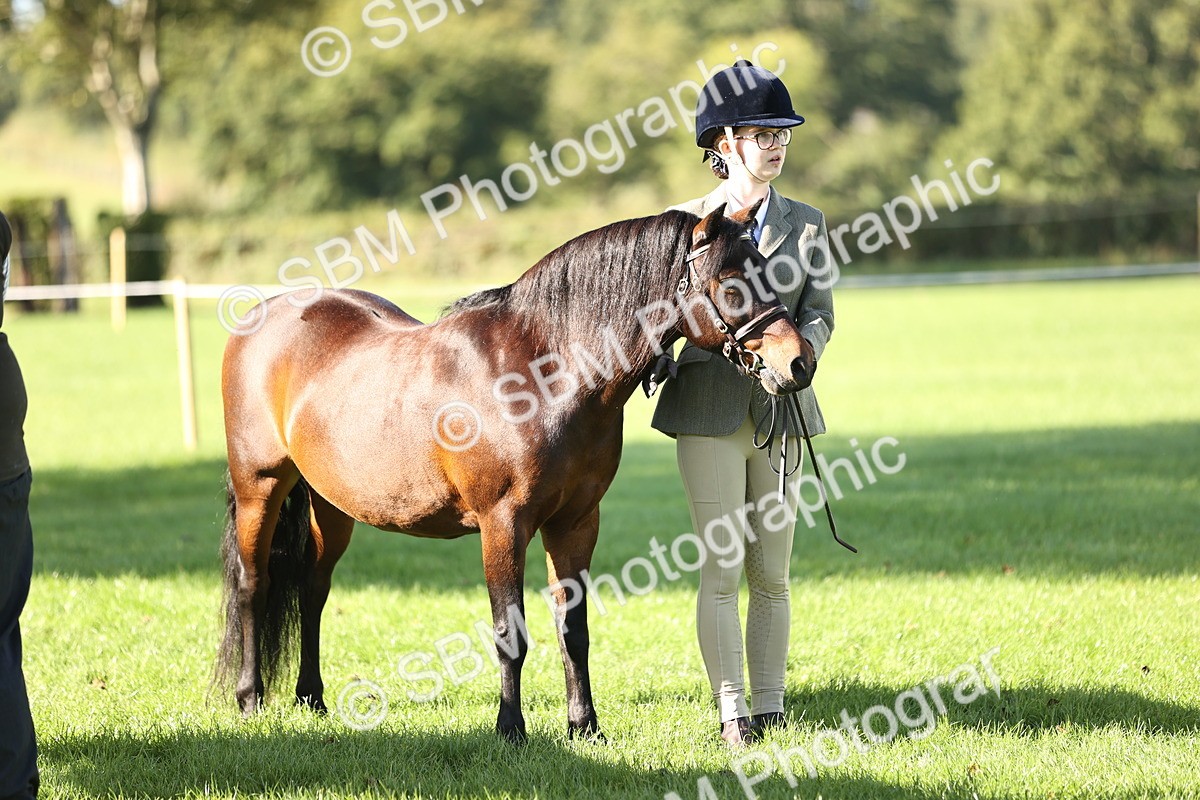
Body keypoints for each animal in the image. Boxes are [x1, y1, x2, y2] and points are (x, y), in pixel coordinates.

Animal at [216, 202, 817, 741]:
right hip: (259, 488)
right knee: (254, 583)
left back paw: (312, 699)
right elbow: (511, 632)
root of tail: (261, 317)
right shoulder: (502, 525)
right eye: (731, 282)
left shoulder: (576, 523)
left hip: (331, 503)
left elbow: (574, 630)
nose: (800, 362)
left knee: (312, 588)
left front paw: (585, 726)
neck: (544, 372)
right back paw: (250, 698)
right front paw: (511, 729)